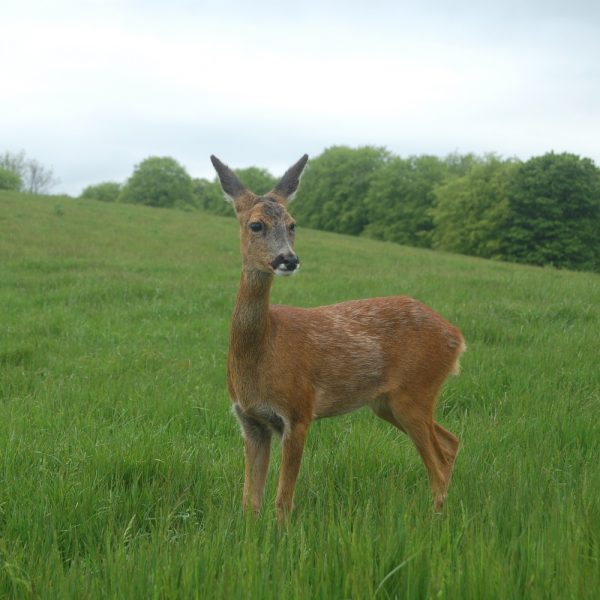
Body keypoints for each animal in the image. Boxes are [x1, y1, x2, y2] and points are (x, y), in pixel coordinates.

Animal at [212, 155, 468, 520]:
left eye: (293, 224)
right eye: (256, 225)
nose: (288, 259)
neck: (262, 352)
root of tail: (456, 337)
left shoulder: (299, 411)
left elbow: (282, 502)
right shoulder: (250, 420)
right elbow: (251, 502)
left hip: (416, 391)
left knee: (439, 462)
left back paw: (435, 520)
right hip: (388, 403)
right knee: (450, 442)